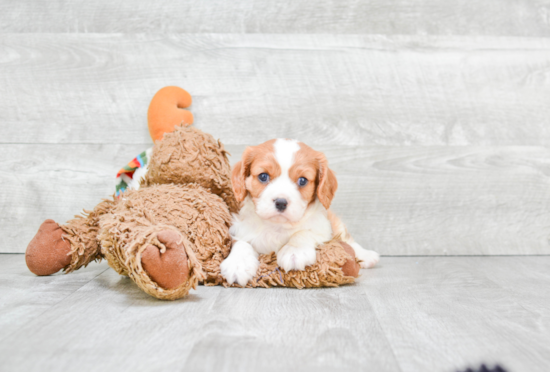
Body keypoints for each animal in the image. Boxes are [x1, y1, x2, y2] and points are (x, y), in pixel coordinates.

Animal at [220, 138, 380, 286]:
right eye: (263, 176)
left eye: (302, 180)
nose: (281, 202)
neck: (277, 226)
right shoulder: (241, 229)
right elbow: (241, 243)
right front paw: (238, 264)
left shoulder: (323, 228)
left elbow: (304, 232)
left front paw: (294, 251)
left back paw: (366, 255)